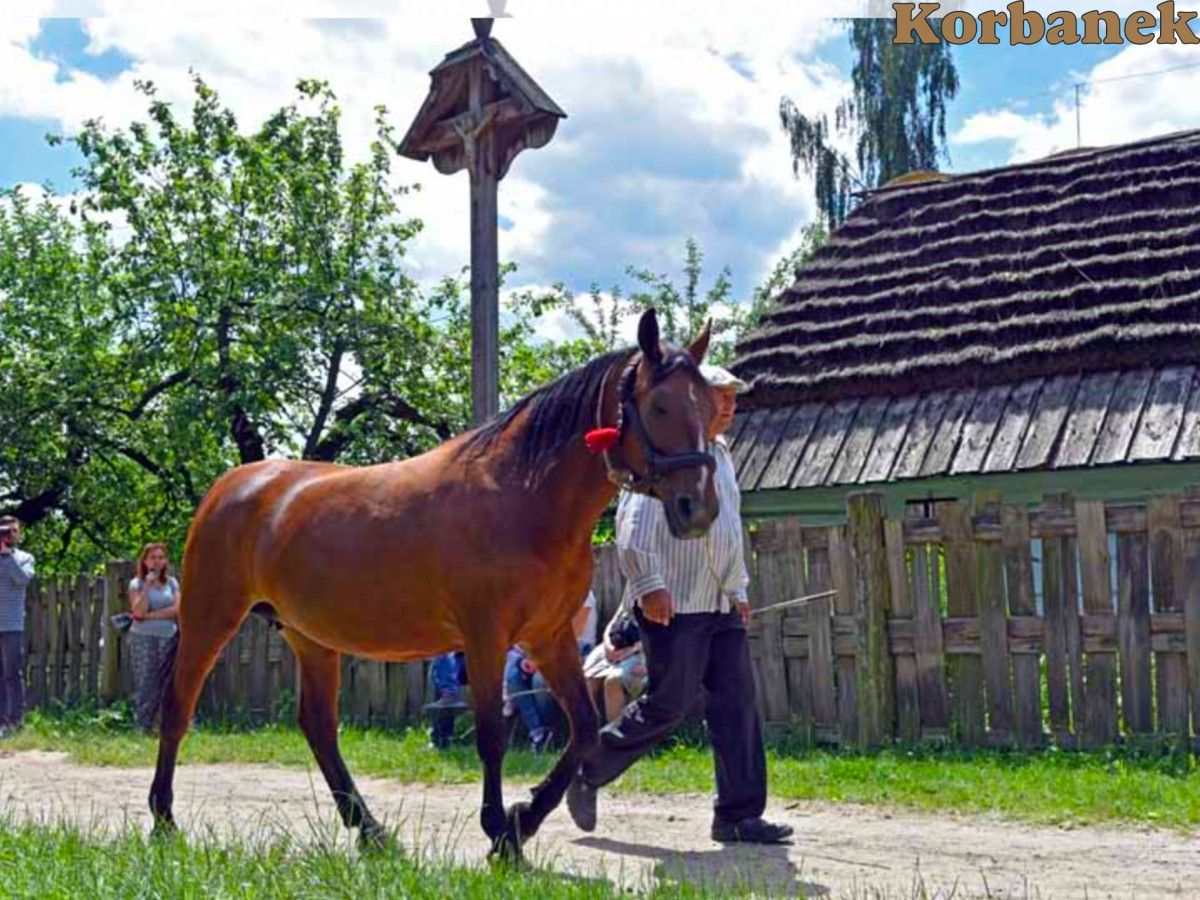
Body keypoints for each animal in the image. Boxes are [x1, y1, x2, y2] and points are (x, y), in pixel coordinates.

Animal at [145, 309, 715, 859]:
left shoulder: (548, 638)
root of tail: (230, 486)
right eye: (660, 407)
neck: (522, 494)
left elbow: (582, 729)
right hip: (210, 619)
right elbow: (491, 737)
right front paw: (501, 832)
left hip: (311, 638)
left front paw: (523, 820)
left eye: (709, 406)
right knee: (178, 708)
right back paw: (164, 820)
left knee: (318, 727)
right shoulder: (486, 639)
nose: (699, 509)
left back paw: (369, 830)